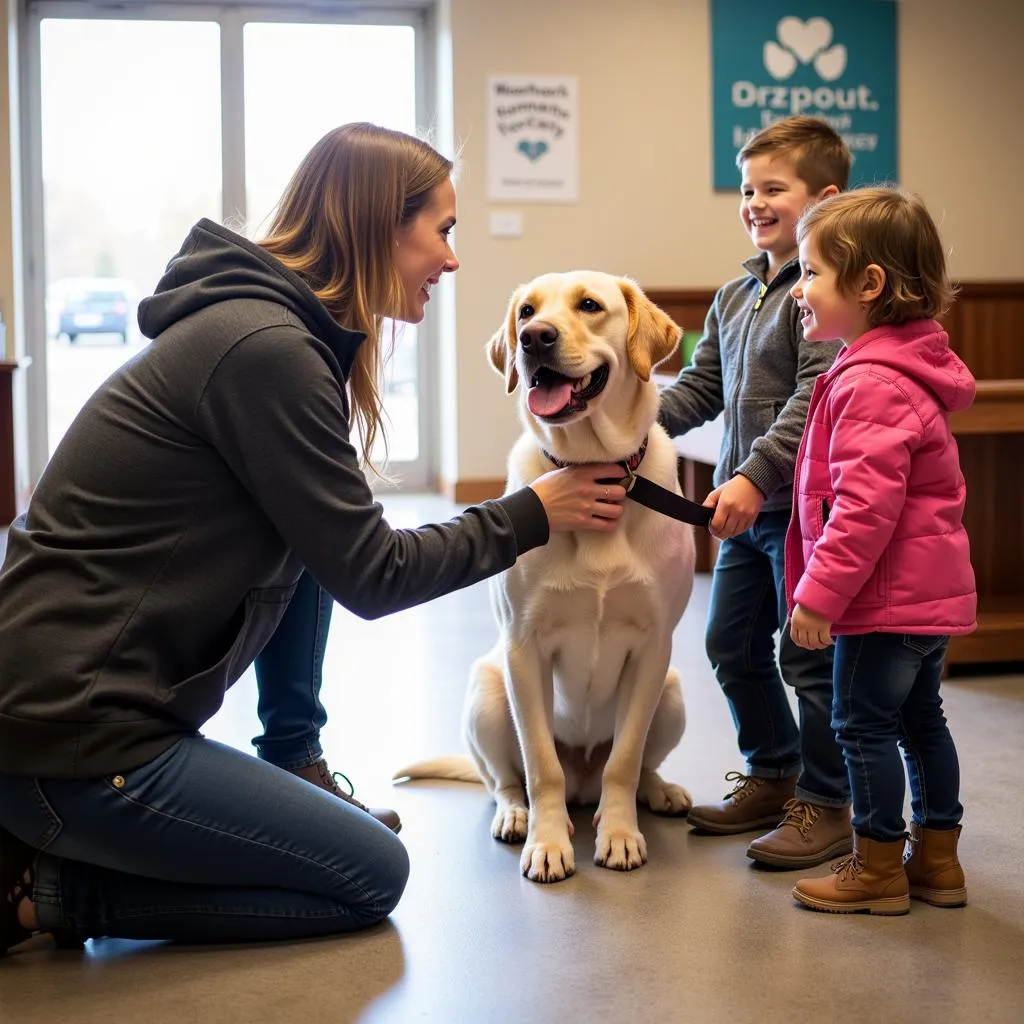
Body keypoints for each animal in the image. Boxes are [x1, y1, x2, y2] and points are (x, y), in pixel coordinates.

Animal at [391, 272, 696, 880]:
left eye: (590, 305)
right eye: (526, 312)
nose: (534, 339)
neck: (592, 471)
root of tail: (584, 784)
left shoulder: (655, 648)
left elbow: (625, 760)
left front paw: (620, 835)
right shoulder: (523, 649)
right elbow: (539, 765)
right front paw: (548, 843)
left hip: (671, 692)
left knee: (633, 768)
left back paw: (657, 792)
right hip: (487, 693)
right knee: (506, 780)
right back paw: (516, 816)